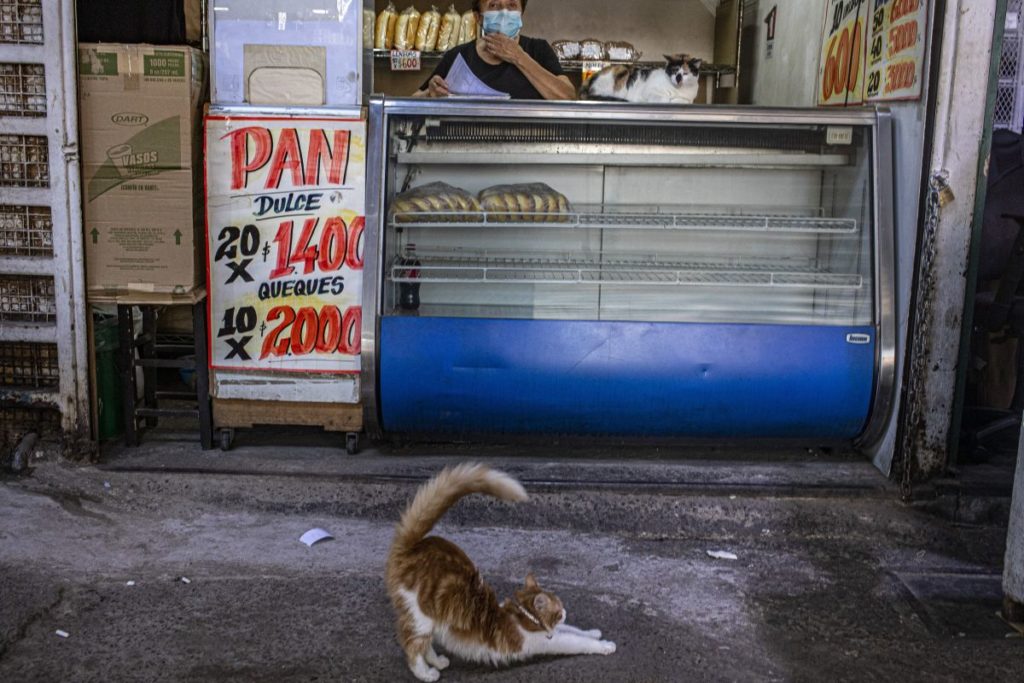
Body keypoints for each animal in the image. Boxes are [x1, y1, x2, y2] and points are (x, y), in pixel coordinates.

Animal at [385, 462, 614, 679]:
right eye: (558, 611)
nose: (565, 611)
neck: (524, 618)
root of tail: (412, 547)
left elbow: (575, 630)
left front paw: (593, 632)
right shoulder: (547, 641)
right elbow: (576, 640)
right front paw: (605, 645)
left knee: (426, 645)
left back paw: (438, 662)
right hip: (420, 618)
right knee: (413, 648)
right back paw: (426, 673)